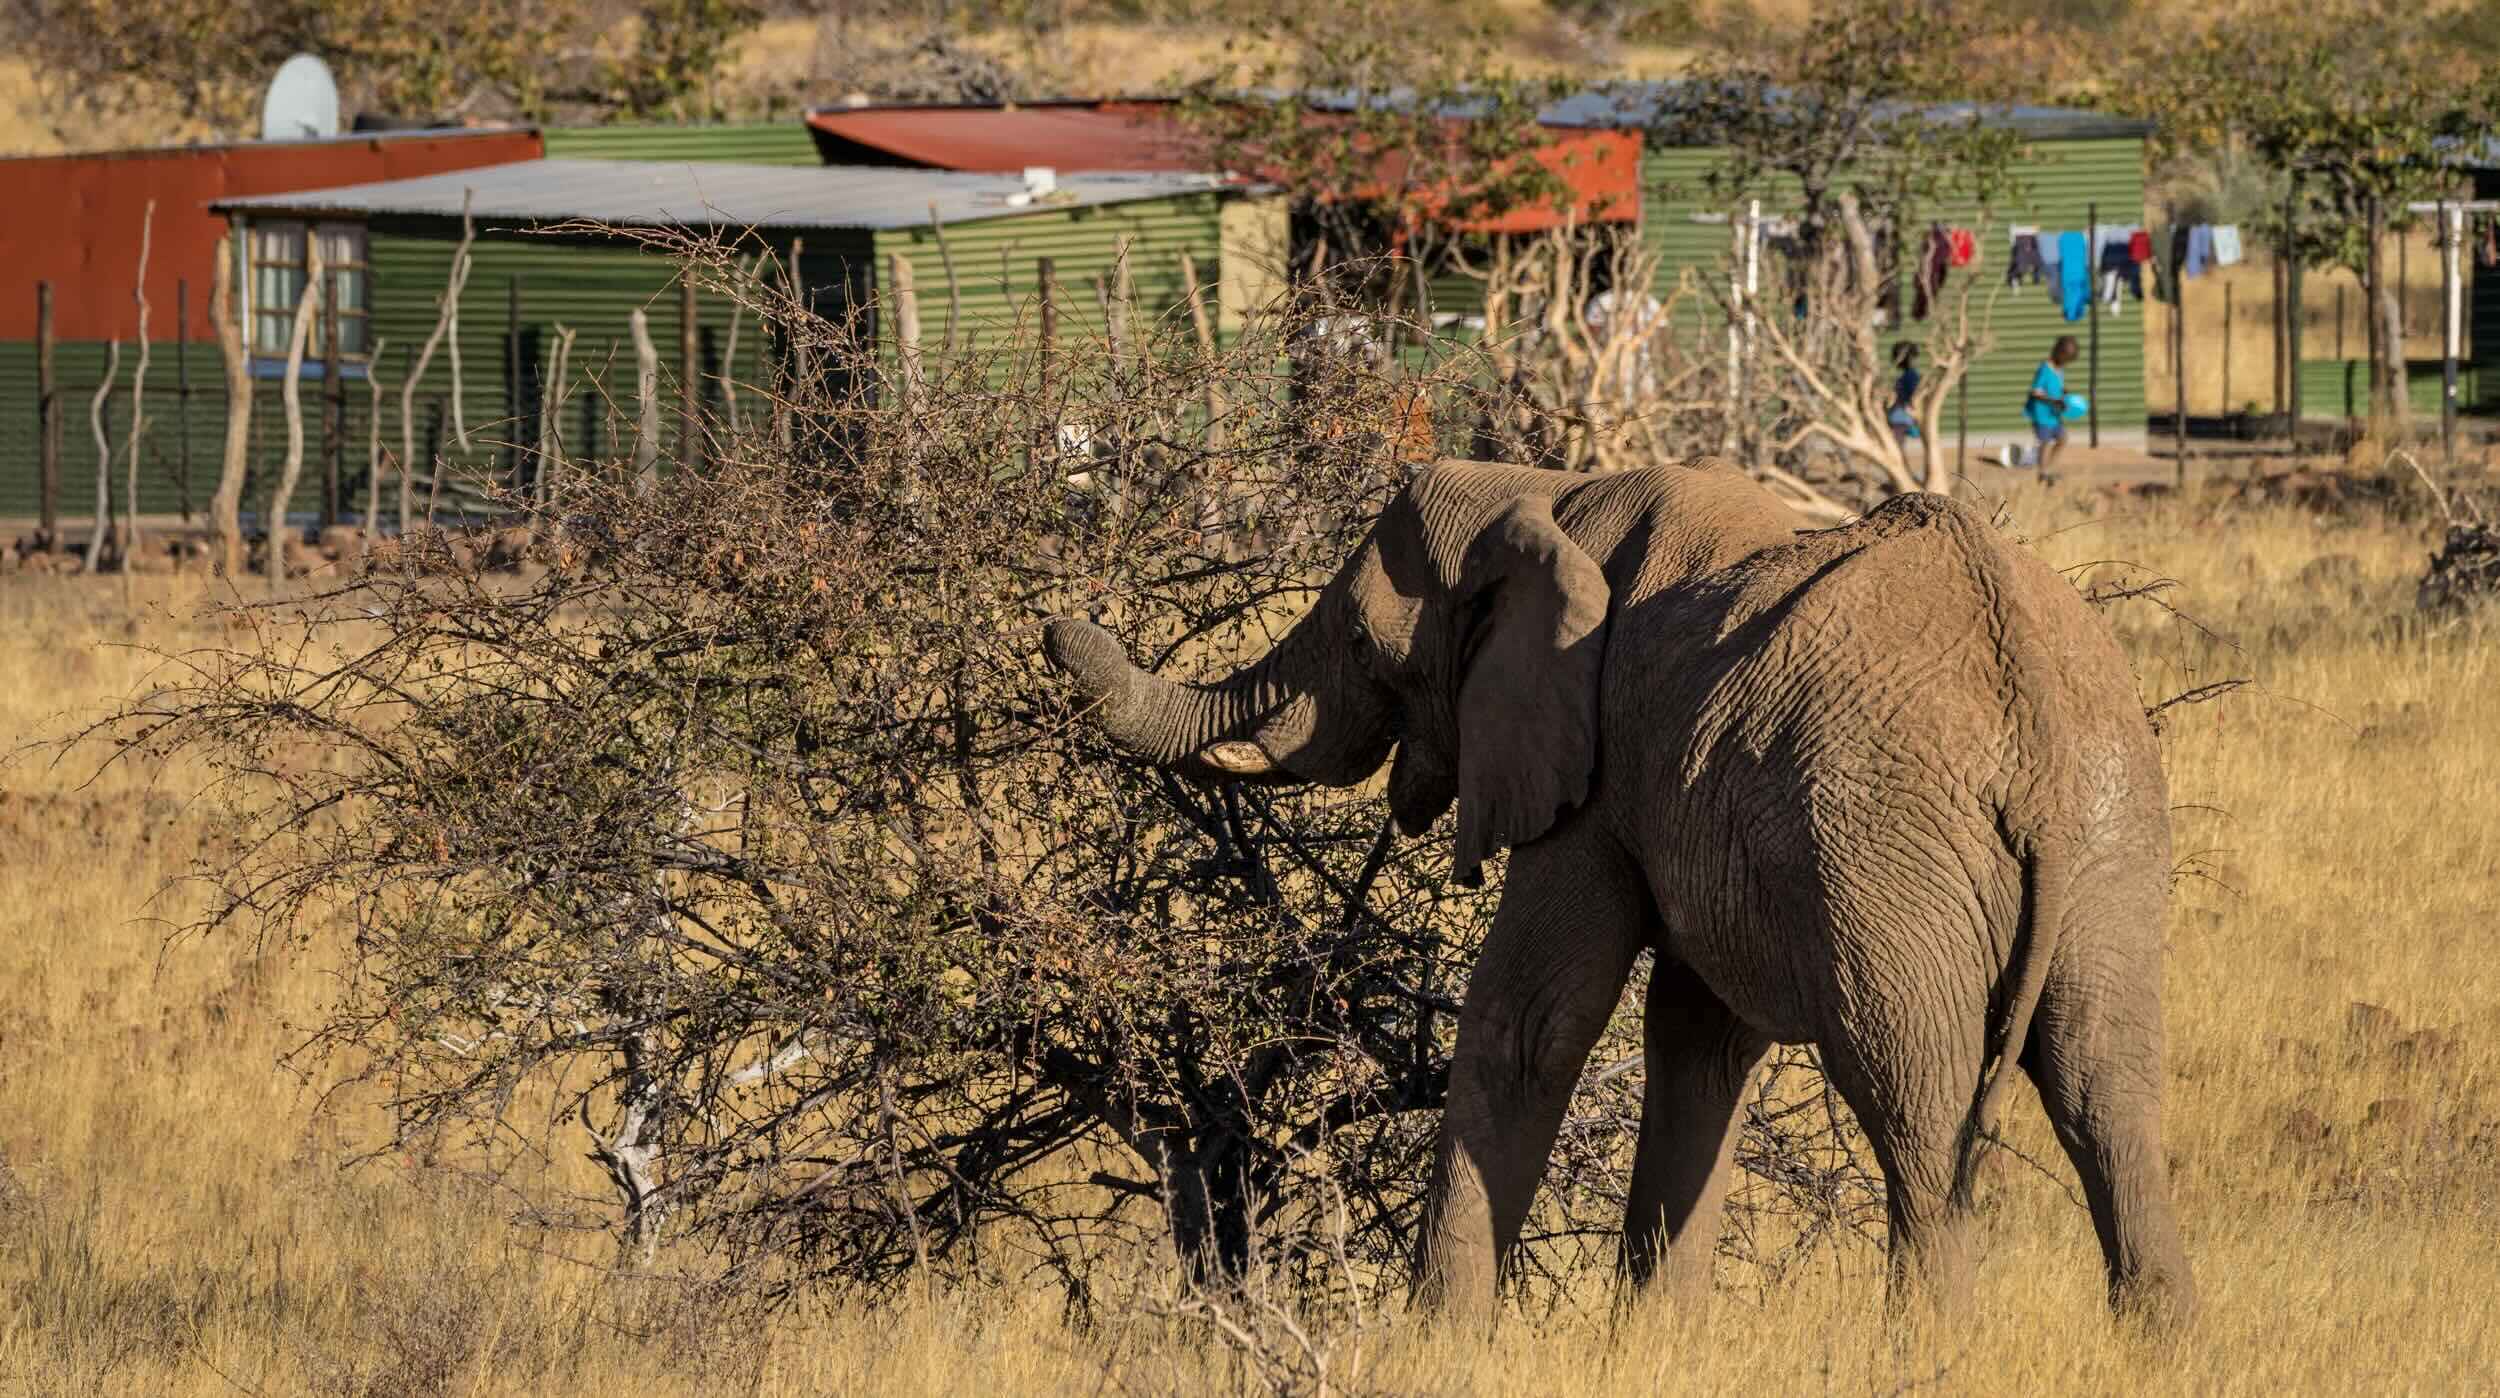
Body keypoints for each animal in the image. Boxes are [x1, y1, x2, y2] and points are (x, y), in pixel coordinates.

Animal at [1041, 458, 2194, 1325]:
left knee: (1915, 1098)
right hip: (2114, 839)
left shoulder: (1586, 766)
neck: (1539, 490)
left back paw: (1928, 1349)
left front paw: (1433, 1344)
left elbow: (1530, 1023)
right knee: (2106, 1088)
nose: (1060, 627)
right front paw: (1649, 1341)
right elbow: (1697, 1041)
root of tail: (2032, 717)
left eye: (1365, 645)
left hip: (1887, 845)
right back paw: (2160, 1342)